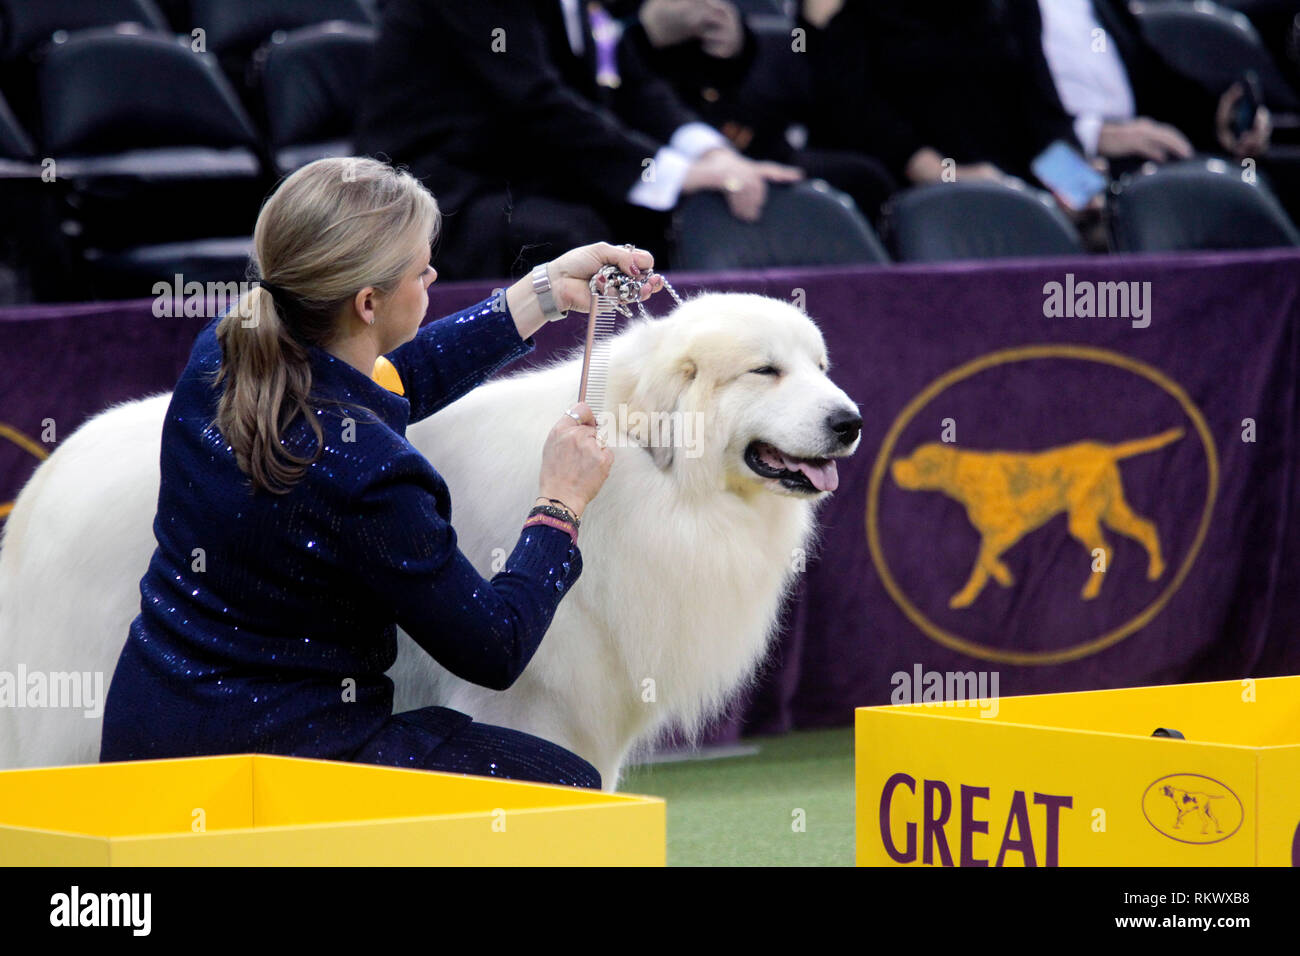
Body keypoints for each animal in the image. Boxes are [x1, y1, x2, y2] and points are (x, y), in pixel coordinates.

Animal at [0, 293, 863, 790]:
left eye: (821, 365)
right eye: (764, 372)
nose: (849, 421)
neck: (657, 476)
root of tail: (46, 481)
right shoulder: (532, 708)